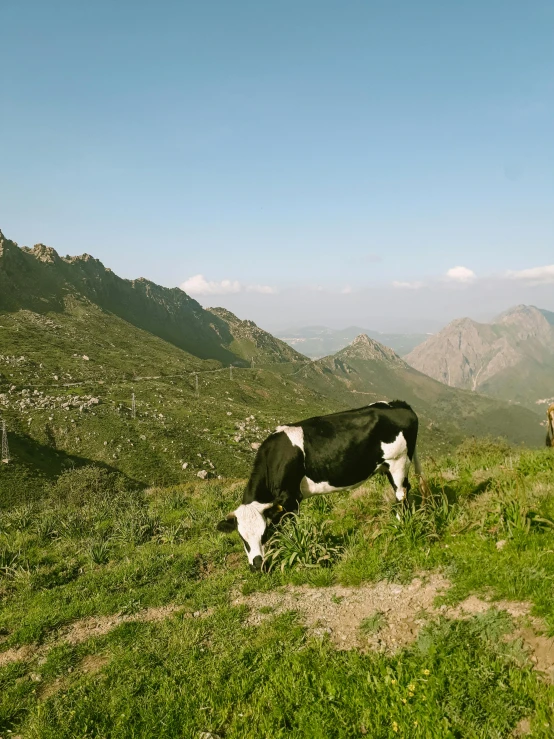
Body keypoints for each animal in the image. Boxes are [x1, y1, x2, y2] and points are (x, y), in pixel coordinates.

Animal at [216, 402, 422, 568]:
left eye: (263, 533)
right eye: (242, 538)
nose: (257, 565)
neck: (275, 458)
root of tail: (399, 404)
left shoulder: (290, 498)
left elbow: (290, 527)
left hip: (398, 462)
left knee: (401, 494)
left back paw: (400, 524)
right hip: (389, 467)